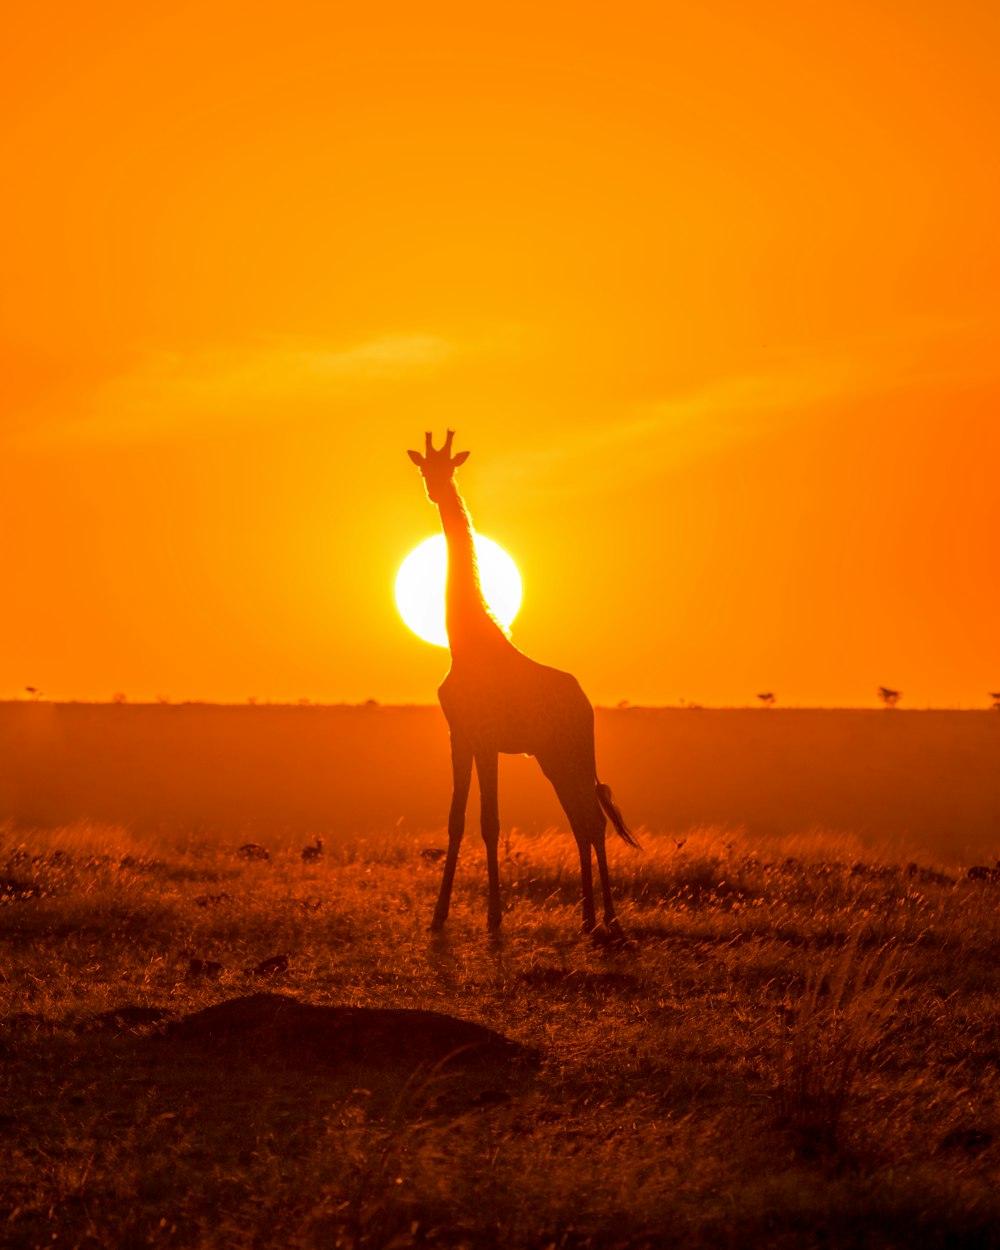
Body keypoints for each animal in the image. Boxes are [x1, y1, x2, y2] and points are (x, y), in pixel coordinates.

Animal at [407, 435, 637, 935]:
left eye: (450, 468)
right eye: (423, 469)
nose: (436, 491)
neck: (464, 642)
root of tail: (586, 704)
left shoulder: (487, 740)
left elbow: (490, 822)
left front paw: (494, 917)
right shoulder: (459, 737)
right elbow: (456, 821)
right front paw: (438, 917)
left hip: (573, 752)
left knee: (593, 820)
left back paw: (608, 919)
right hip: (552, 758)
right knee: (581, 821)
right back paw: (588, 918)